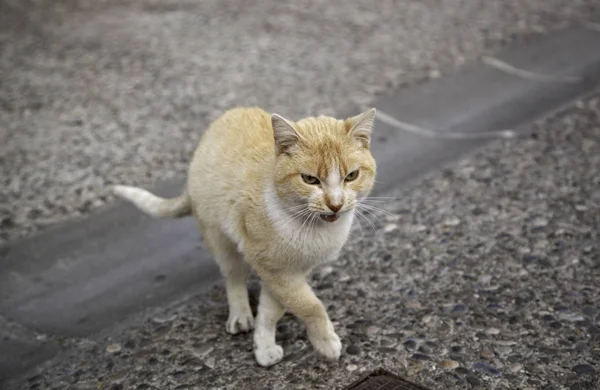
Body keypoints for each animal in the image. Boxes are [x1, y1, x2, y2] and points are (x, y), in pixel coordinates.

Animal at [112, 106, 376, 366]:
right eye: (310, 179)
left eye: (351, 176)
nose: (335, 204)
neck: (310, 227)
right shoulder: (270, 266)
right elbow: (311, 306)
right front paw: (325, 341)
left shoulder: (283, 272)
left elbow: (274, 308)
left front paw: (264, 344)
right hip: (223, 242)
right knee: (233, 277)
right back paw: (240, 314)